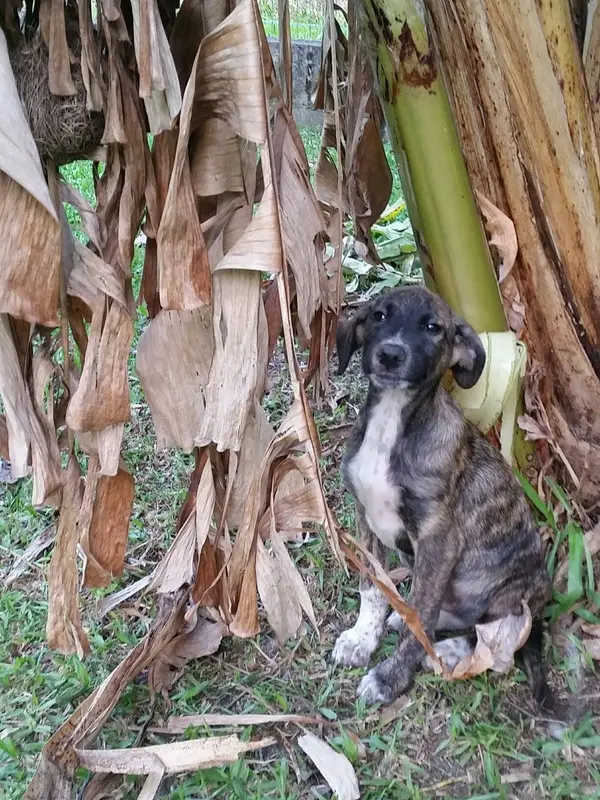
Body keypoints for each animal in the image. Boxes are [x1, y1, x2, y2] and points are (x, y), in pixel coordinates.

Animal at [332, 286, 552, 708]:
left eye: (433, 328)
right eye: (380, 315)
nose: (391, 354)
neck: (392, 421)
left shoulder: (439, 540)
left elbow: (421, 621)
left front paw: (390, 678)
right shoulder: (366, 519)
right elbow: (374, 589)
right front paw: (362, 638)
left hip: (509, 592)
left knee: (500, 638)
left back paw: (449, 650)